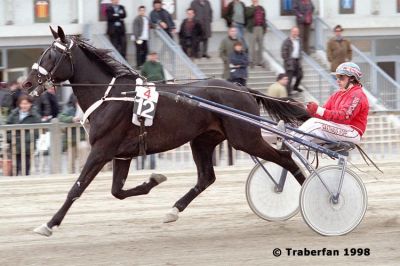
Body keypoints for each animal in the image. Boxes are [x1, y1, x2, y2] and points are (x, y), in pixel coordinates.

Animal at [23, 26, 310, 236]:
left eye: (51, 55)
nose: (27, 83)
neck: (110, 95)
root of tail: (241, 88)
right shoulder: (121, 154)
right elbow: (117, 191)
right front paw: (154, 180)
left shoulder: (102, 150)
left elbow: (77, 188)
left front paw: (49, 224)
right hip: (203, 141)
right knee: (206, 178)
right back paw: (173, 210)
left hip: (245, 138)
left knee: (285, 158)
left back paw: (309, 190)